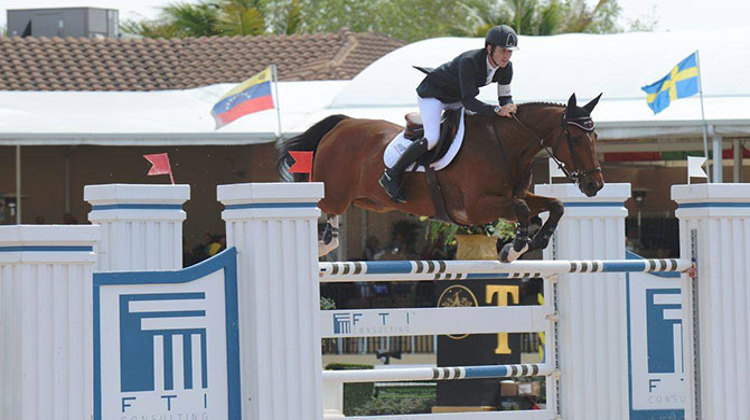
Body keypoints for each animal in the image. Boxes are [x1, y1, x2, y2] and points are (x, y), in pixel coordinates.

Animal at [280, 93, 608, 260]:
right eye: (575, 139)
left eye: (595, 137)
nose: (594, 185)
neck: (506, 146)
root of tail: (342, 124)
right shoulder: (475, 208)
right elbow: (522, 209)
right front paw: (516, 247)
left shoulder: (512, 197)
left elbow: (554, 206)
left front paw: (532, 241)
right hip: (332, 191)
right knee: (320, 208)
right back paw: (322, 244)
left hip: (371, 202)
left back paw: (327, 243)